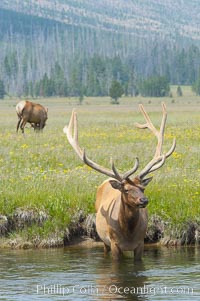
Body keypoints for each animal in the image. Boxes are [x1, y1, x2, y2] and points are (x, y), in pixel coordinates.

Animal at [63, 104, 176, 258]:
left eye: (143, 188)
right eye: (126, 189)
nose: (144, 200)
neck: (128, 234)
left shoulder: (140, 244)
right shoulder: (114, 244)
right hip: (103, 239)